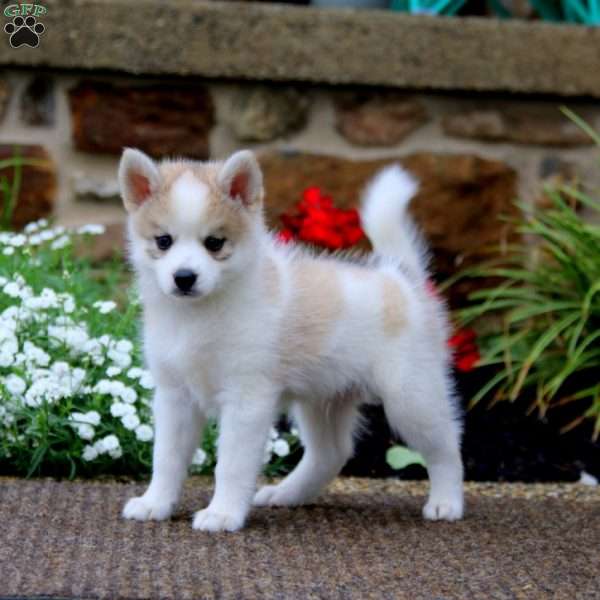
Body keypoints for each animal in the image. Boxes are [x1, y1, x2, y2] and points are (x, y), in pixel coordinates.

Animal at [118, 148, 464, 532]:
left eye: (214, 243)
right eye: (163, 241)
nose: (184, 278)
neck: (199, 316)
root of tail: (402, 280)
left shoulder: (247, 397)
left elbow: (231, 464)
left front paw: (222, 513)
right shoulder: (174, 396)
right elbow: (166, 458)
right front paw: (155, 503)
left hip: (411, 397)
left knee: (447, 447)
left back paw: (446, 502)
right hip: (323, 399)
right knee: (330, 453)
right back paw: (286, 494)